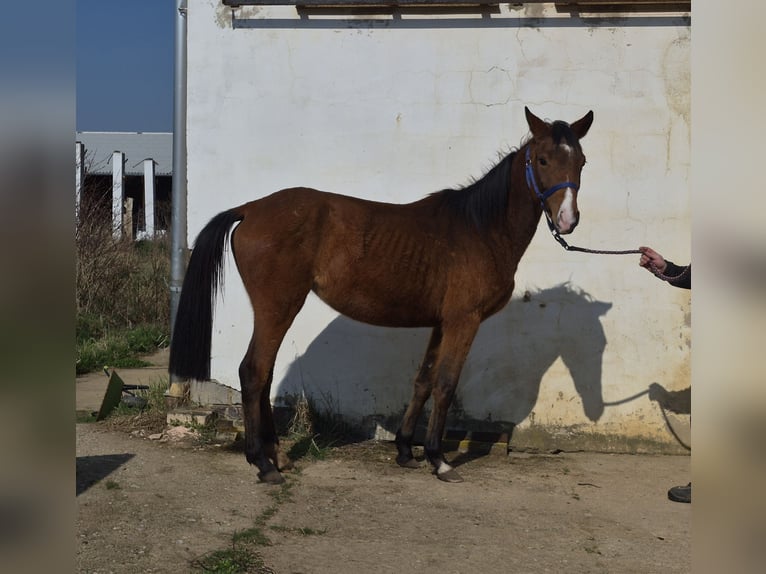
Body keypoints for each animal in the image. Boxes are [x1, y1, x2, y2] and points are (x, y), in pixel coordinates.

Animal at [169, 106, 594, 484]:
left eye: (582, 161)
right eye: (542, 159)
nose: (568, 220)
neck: (480, 228)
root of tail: (250, 209)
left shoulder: (441, 323)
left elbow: (423, 381)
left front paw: (406, 450)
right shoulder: (464, 321)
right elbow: (445, 384)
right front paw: (439, 460)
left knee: (265, 372)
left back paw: (277, 456)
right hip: (279, 306)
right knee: (254, 371)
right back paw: (263, 463)